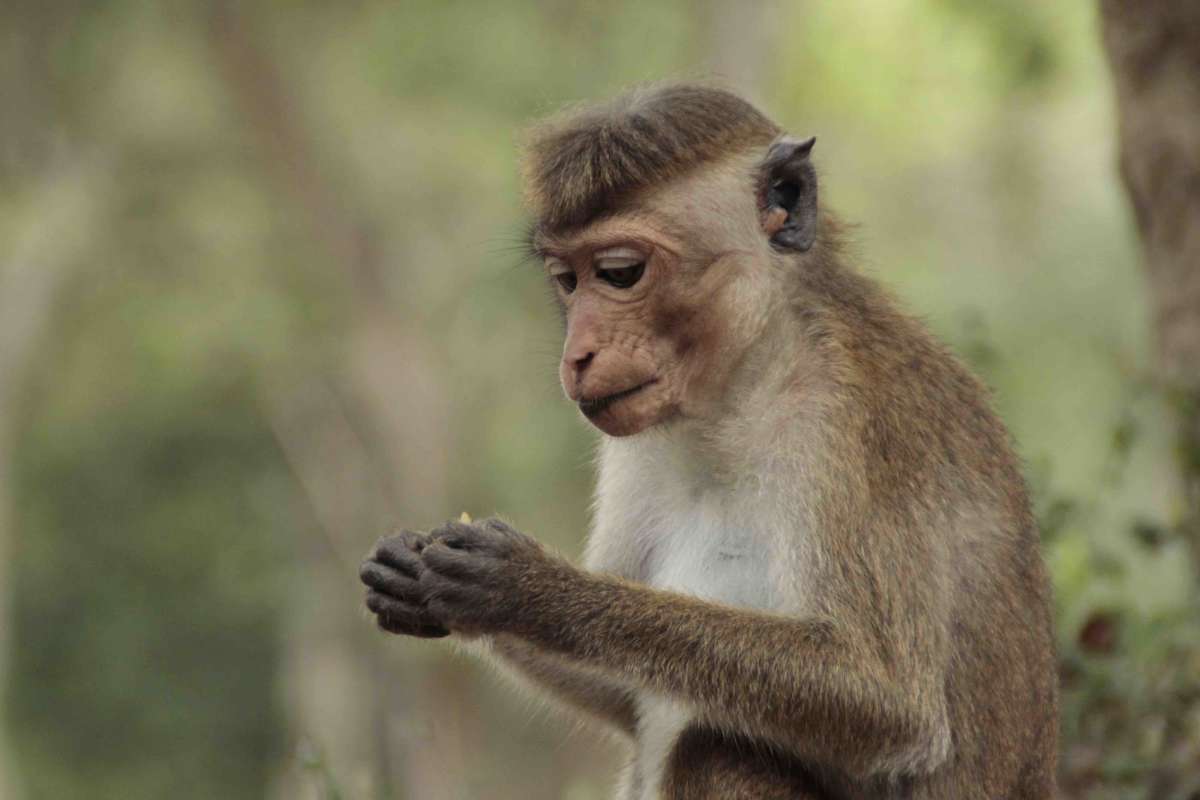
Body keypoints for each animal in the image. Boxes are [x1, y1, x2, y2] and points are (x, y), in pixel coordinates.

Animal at [357, 84, 1060, 796]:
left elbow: (892, 707)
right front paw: (414, 578)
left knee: (713, 748)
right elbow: (619, 699)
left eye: (619, 272)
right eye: (567, 280)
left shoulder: (853, 422)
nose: (576, 355)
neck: (746, 384)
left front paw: (531, 590)